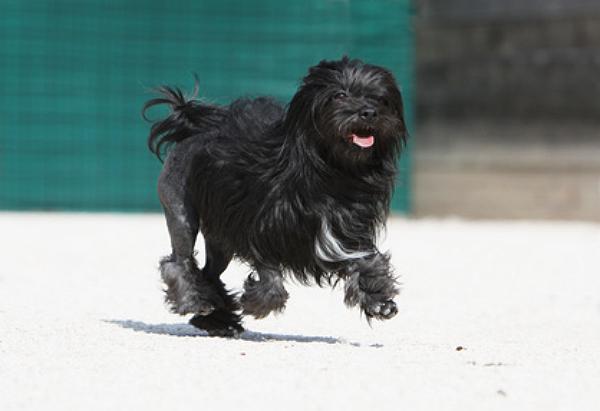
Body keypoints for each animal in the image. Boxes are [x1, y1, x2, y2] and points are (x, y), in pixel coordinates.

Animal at [145, 56, 408, 336]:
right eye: (339, 95)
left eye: (379, 98)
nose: (369, 112)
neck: (329, 172)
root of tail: (192, 129)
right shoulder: (260, 229)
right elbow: (270, 277)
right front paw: (257, 303)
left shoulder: (342, 235)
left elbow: (368, 263)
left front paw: (379, 300)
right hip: (181, 212)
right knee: (178, 261)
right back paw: (195, 302)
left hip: (219, 240)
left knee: (209, 273)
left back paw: (219, 318)